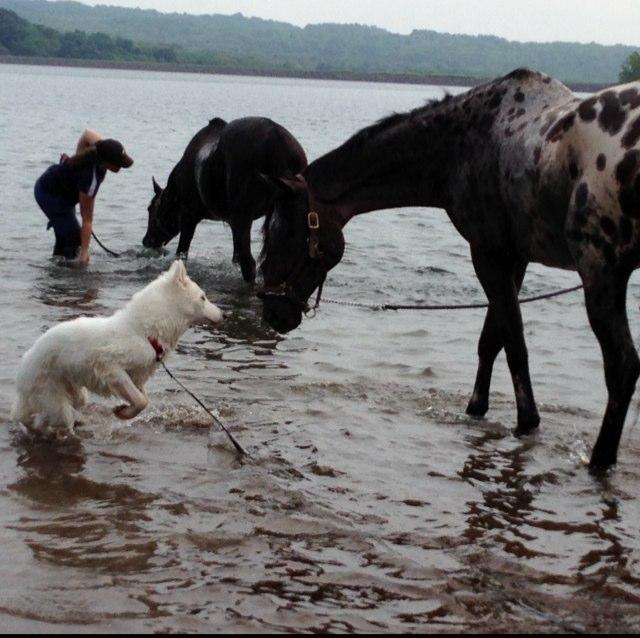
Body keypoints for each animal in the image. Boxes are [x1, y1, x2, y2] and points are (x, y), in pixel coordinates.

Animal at [10, 262, 222, 440]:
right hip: (53, 399)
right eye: (203, 297)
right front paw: (121, 412)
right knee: (42, 420)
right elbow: (140, 400)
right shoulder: (110, 367)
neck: (143, 332)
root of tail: (24, 367)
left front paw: (124, 411)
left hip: (76, 393)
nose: (224, 314)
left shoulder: (137, 376)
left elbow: (143, 399)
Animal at [143, 117, 308, 282]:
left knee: (249, 264)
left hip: (243, 217)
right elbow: (235, 257)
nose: (146, 241)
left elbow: (181, 253)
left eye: (150, 209)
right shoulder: (232, 223)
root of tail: (275, 141)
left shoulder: (189, 217)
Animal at [258, 70, 640, 472]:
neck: (462, 146)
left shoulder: (488, 254)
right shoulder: (513, 258)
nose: (272, 310)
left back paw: (599, 460)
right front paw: (477, 409)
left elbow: (513, 343)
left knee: (622, 366)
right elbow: (493, 339)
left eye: (285, 231)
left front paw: (526, 422)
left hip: (601, 273)